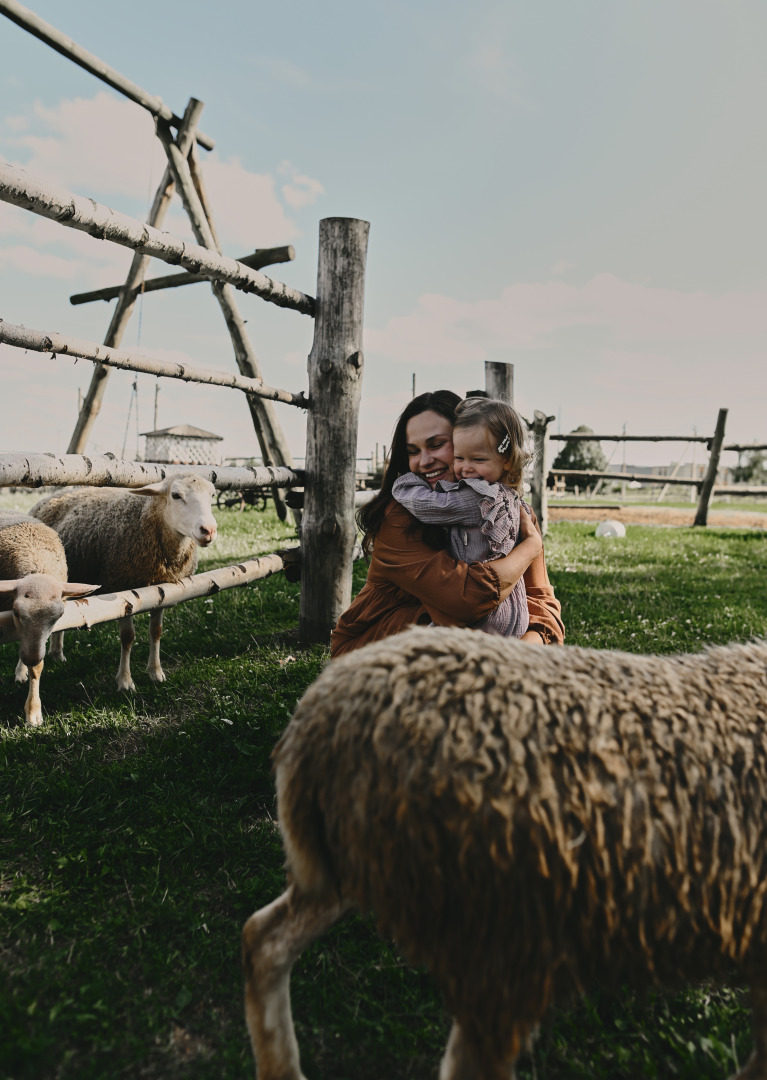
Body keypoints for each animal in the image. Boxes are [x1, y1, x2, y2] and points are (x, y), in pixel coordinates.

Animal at [29, 475, 216, 691]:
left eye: (212, 495)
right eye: (176, 495)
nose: (209, 530)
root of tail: (53, 495)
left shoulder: (162, 590)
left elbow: (156, 632)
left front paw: (156, 672)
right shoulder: (123, 588)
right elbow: (128, 637)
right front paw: (125, 681)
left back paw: (57, 653)